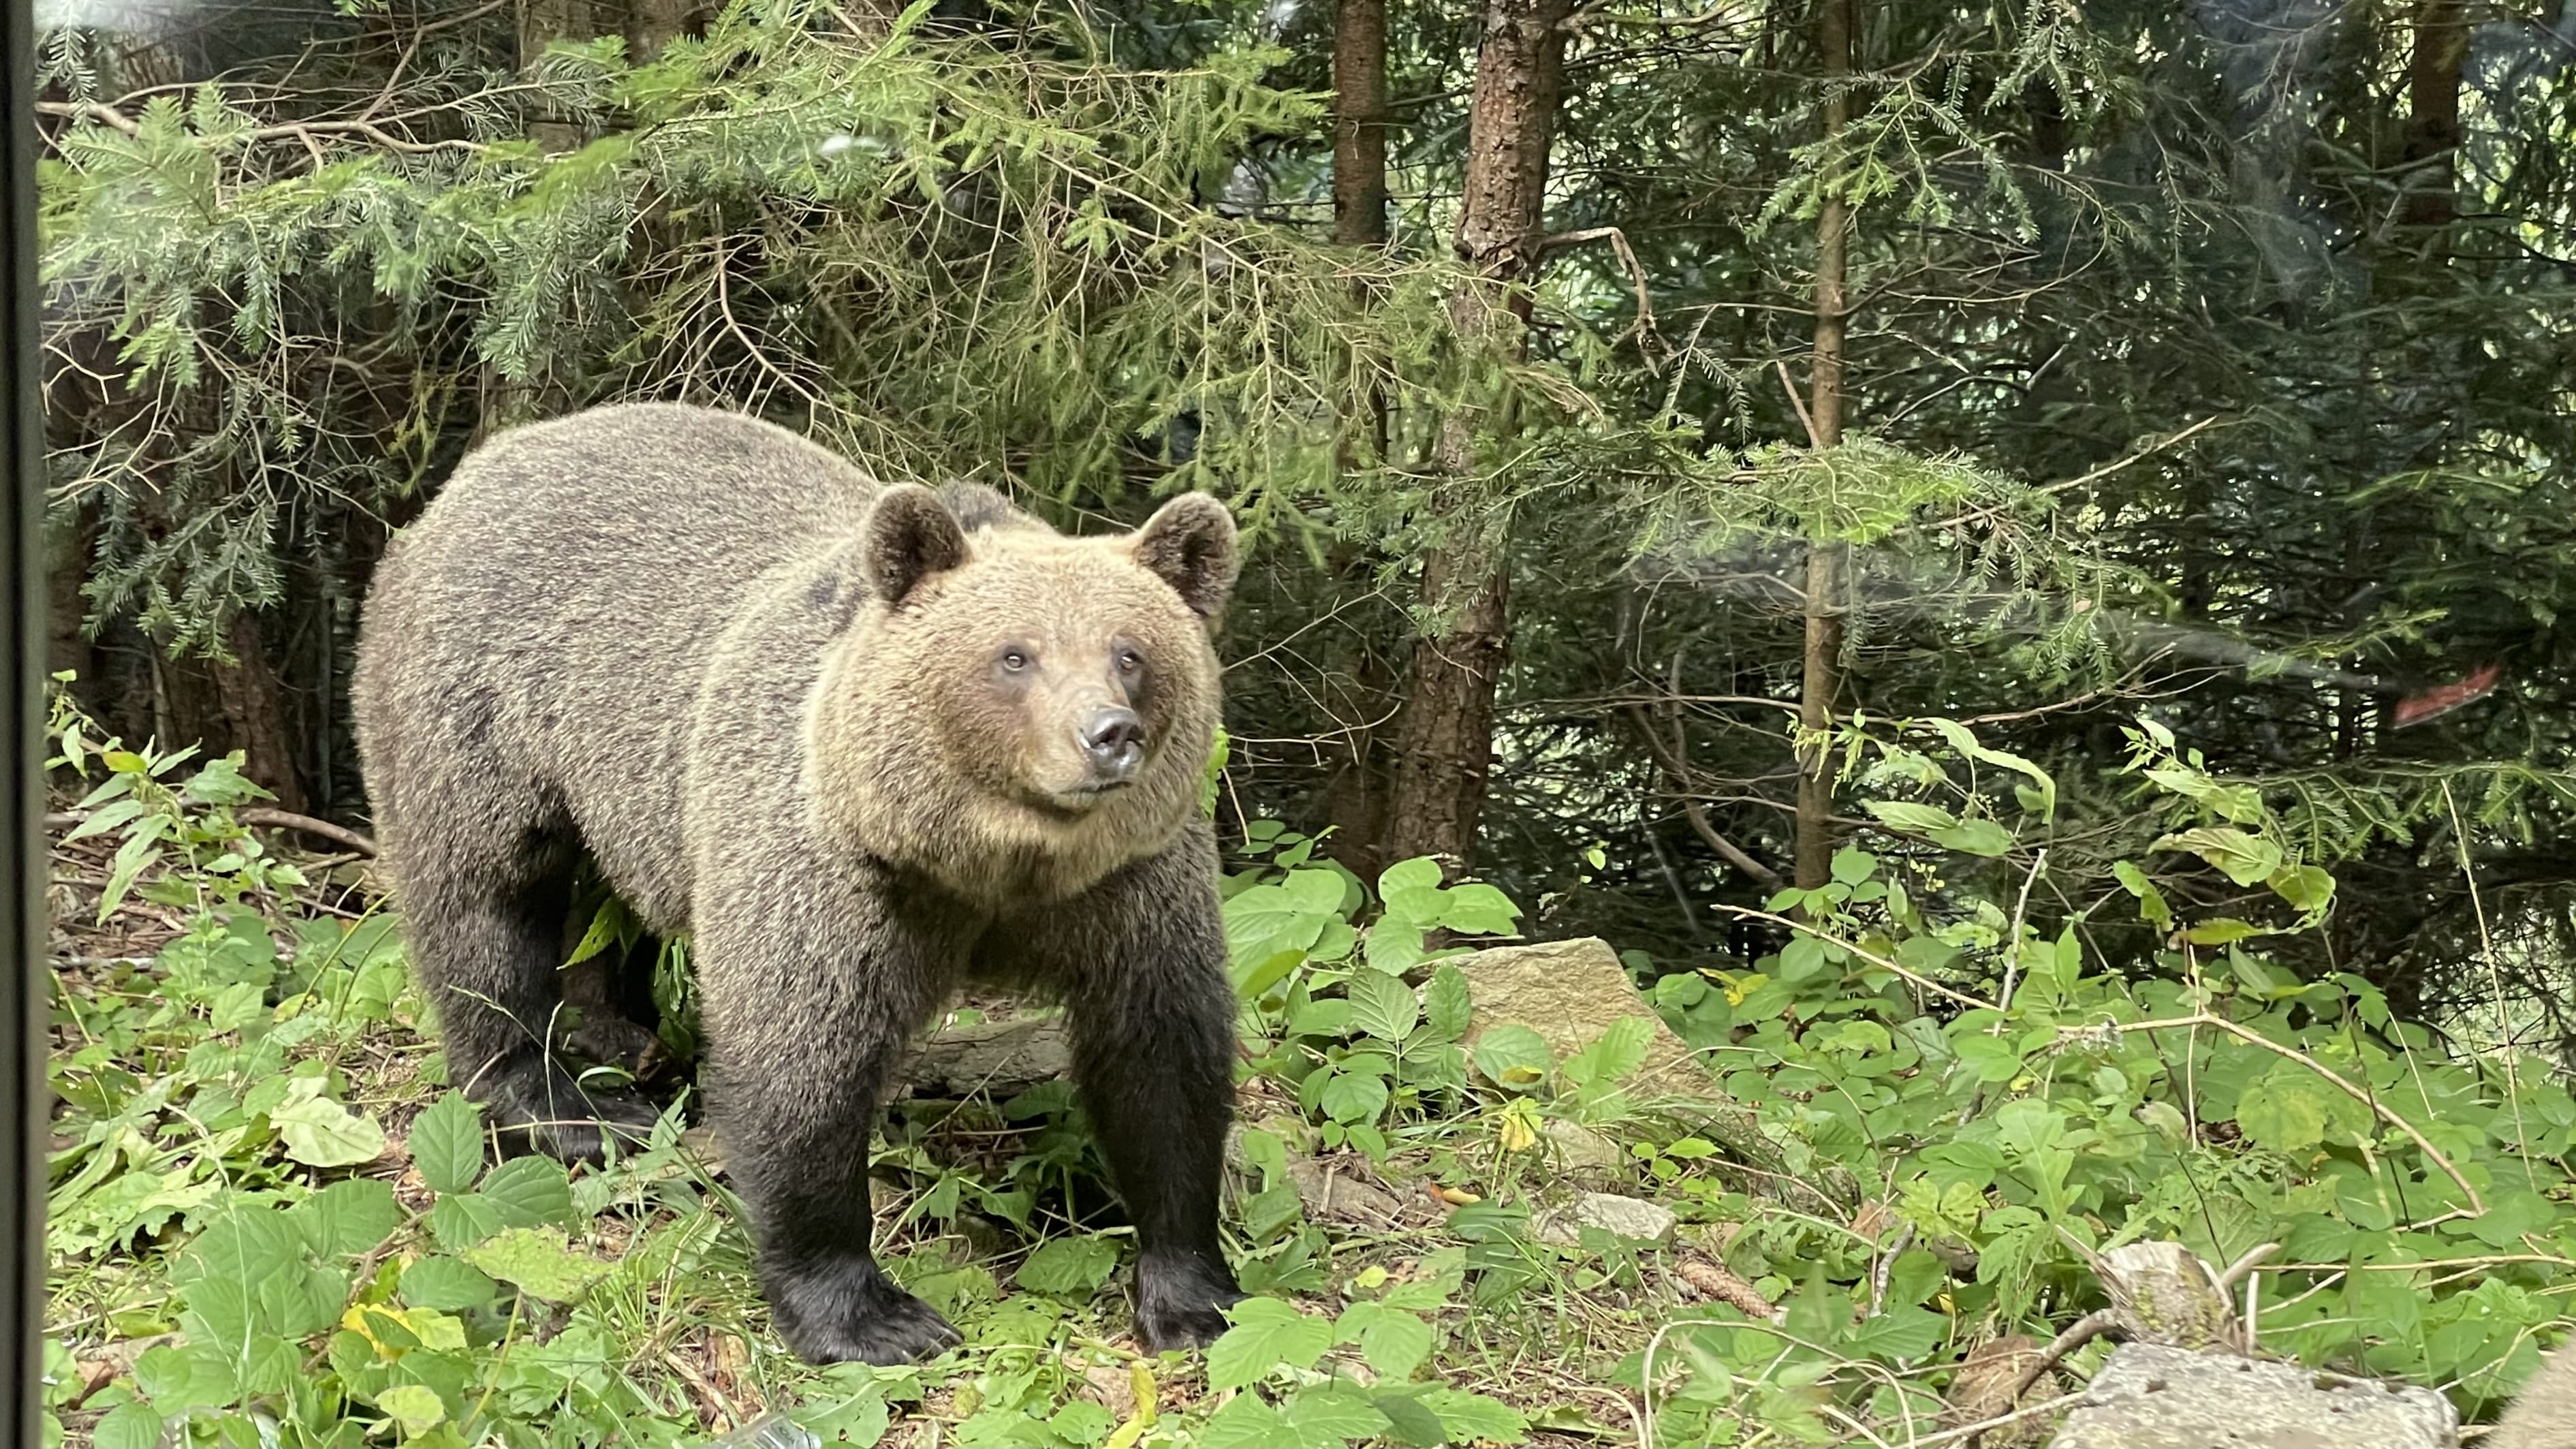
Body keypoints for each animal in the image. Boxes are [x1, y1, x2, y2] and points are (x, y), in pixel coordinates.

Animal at [349, 401, 1245, 1365]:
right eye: (1015, 656)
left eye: (1131, 653)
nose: (1106, 735)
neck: (988, 866)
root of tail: (495, 455)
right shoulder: (824, 876)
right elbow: (798, 1070)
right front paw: (869, 1316)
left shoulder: (1129, 887)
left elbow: (1160, 1062)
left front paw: (1192, 1293)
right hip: (481, 719)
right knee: (486, 909)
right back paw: (566, 1106)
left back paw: (626, 1038)